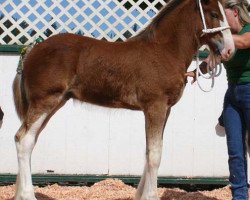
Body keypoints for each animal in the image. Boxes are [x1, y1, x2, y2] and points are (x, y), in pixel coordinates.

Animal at [12, 0, 234, 199]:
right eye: (214, 14)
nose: (229, 50)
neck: (165, 51)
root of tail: (31, 51)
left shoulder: (165, 109)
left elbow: (149, 151)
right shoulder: (155, 106)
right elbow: (155, 154)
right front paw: (150, 196)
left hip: (55, 102)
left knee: (29, 140)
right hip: (45, 101)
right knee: (24, 140)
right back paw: (27, 195)